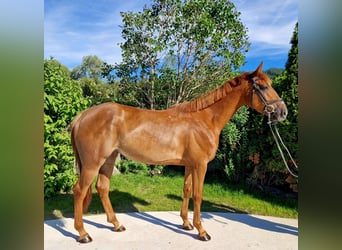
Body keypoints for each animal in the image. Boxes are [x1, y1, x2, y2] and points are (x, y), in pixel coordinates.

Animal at [69, 62, 286, 242]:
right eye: (263, 86)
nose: (283, 112)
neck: (205, 119)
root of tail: (82, 116)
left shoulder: (190, 165)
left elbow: (187, 190)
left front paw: (186, 224)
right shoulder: (200, 165)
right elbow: (198, 195)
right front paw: (202, 231)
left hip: (109, 159)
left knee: (102, 188)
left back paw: (116, 224)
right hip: (92, 163)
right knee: (79, 190)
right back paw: (83, 234)